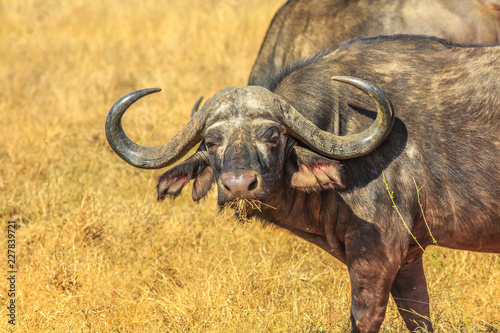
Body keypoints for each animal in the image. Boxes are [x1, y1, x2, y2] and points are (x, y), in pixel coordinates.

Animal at [103, 35, 498, 330]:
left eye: (273, 136)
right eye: (212, 142)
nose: (238, 185)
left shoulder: (377, 254)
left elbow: (363, 318)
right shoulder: (410, 259)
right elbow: (419, 317)